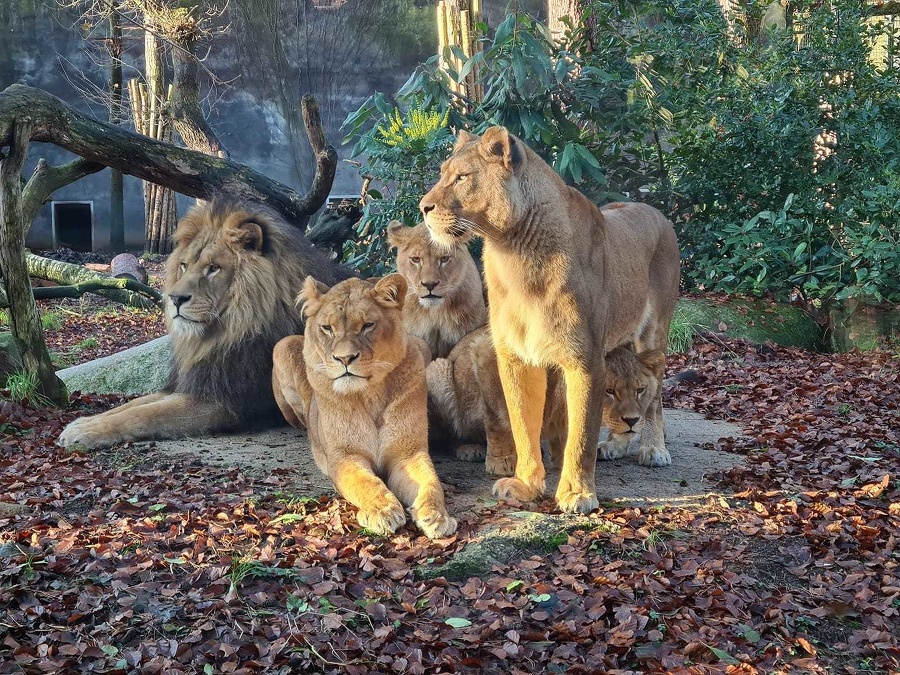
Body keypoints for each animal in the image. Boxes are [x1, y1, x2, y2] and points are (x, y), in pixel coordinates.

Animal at [59, 197, 348, 448]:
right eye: (184, 266)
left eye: (214, 268)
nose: (174, 298)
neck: (224, 331)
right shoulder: (189, 382)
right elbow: (132, 405)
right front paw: (83, 423)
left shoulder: (223, 402)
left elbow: (143, 414)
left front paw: (84, 432)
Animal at [270, 272, 458, 540]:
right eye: (327, 328)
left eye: (368, 325)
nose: (344, 358)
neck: (371, 393)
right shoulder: (344, 456)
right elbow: (364, 482)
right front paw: (383, 511)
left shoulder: (408, 452)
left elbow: (431, 482)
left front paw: (437, 516)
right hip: (283, 346)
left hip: (420, 344)